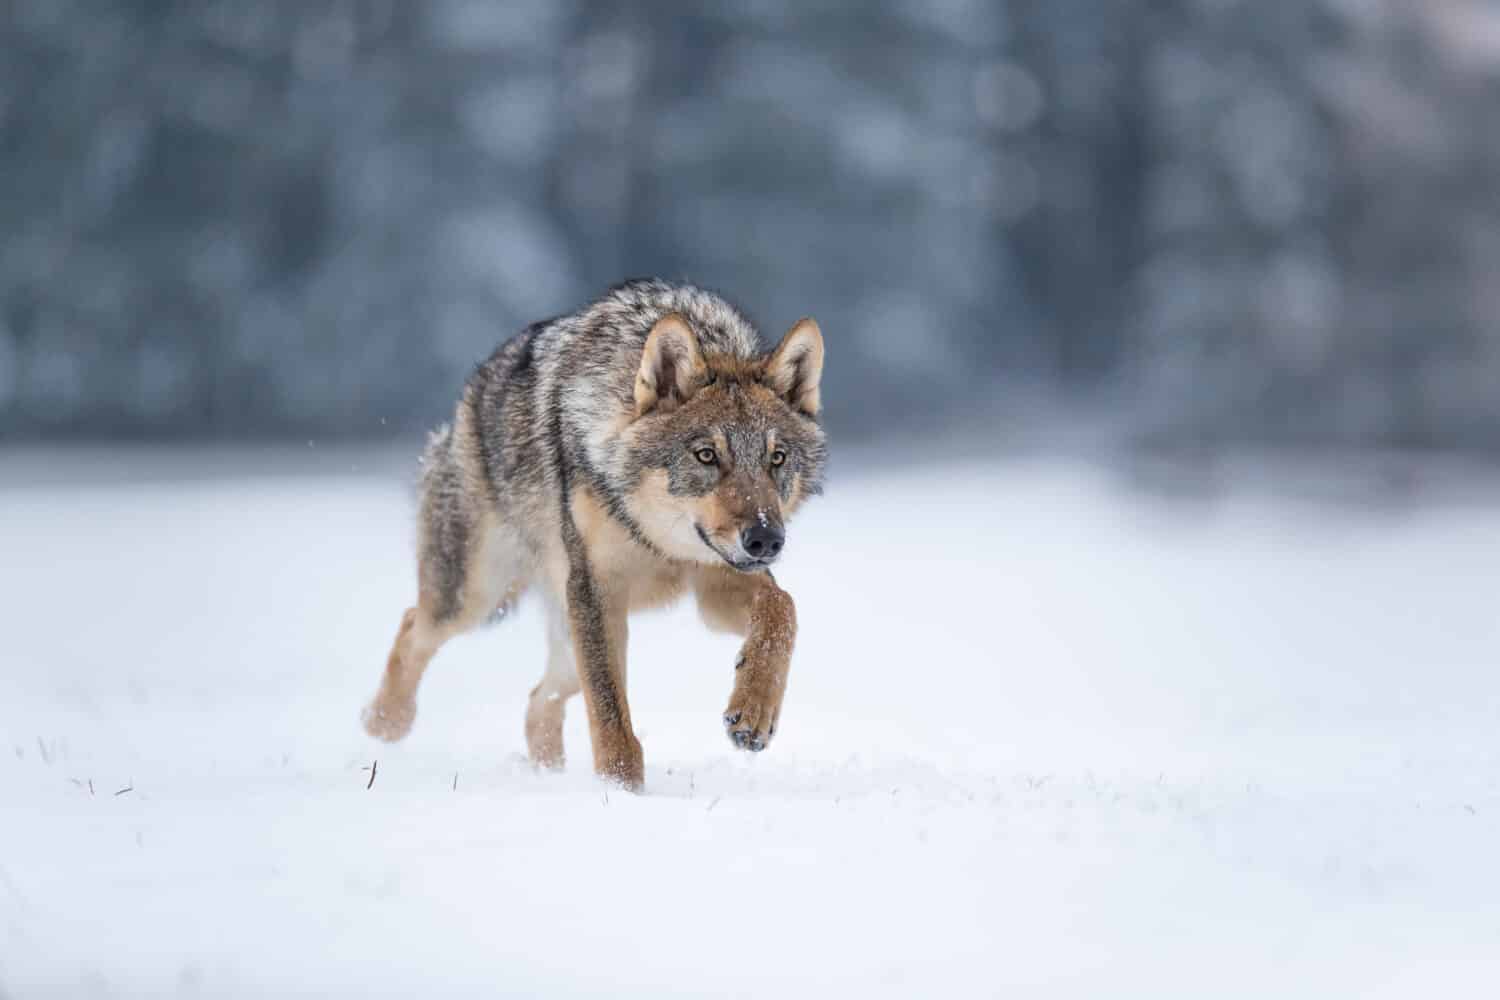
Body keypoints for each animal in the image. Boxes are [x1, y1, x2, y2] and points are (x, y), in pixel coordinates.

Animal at [364, 275, 834, 791]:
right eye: (707, 455)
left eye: (777, 458)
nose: (766, 540)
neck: (654, 538)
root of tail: (464, 407)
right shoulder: (597, 587)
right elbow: (609, 709)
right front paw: (622, 790)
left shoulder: (714, 580)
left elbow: (782, 609)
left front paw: (753, 712)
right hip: (480, 600)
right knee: (414, 624)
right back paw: (384, 722)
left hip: (564, 637)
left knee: (538, 701)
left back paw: (546, 777)